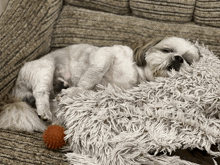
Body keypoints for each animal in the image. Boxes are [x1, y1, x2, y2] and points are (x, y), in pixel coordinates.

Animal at [0, 36, 200, 131]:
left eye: (188, 61)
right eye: (167, 50)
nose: (178, 58)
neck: (138, 74)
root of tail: (14, 92)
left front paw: (75, 92)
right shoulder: (106, 54)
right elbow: (94, 73)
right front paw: (76, 90)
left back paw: (61, 88)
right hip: (44, 68)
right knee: (40, 92)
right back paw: (45, 110)